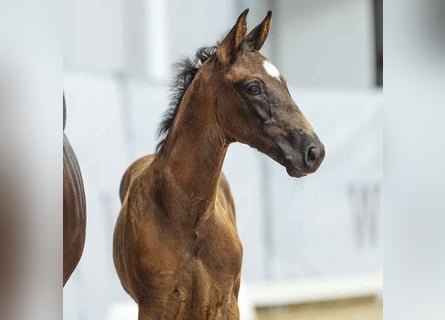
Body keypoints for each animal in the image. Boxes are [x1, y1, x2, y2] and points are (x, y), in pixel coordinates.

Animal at [112, 10, 324, 320]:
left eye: (284, 83)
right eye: (253, 87)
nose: (314, 151)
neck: (189, 220)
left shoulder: (225, 303)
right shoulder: (155, 308)